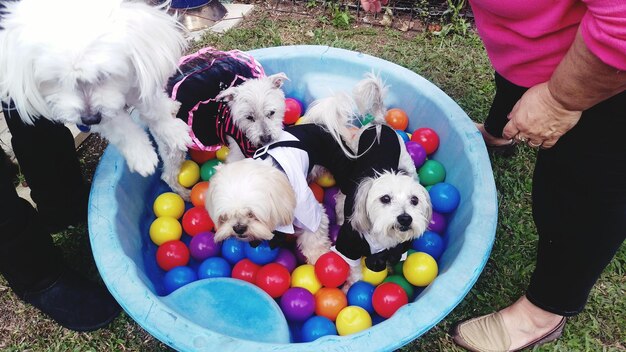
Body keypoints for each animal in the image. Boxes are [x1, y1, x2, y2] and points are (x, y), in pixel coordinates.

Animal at [0, 0, 193, 195]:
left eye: (104, 75)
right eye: (58, 80)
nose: (90, 118)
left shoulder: (139, 73)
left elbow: (154, 109)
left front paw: (173, 131)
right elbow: (121, 128)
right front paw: (141, 154)